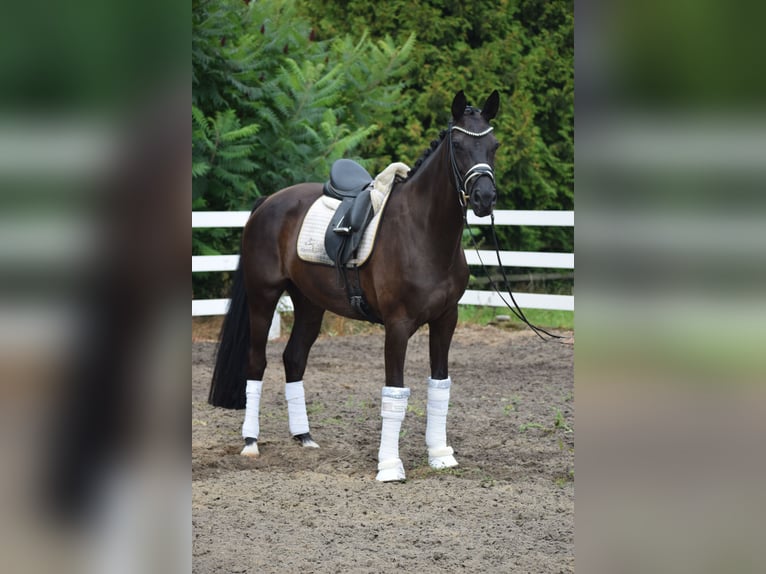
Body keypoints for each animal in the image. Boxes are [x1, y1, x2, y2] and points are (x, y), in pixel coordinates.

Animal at [207, 90, 500, 482]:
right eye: (457, 144)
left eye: (494, 145)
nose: (484, 198)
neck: (423, 232)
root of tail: (268, 202)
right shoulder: (397, 326)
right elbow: (395, 392)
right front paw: (389, 466)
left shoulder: (445, 321)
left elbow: (439, 386)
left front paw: (440, 454)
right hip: (262, 297)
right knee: (257, 362)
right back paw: (251, 442)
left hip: (310, 303)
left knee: (293, 358)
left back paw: (304, 437)